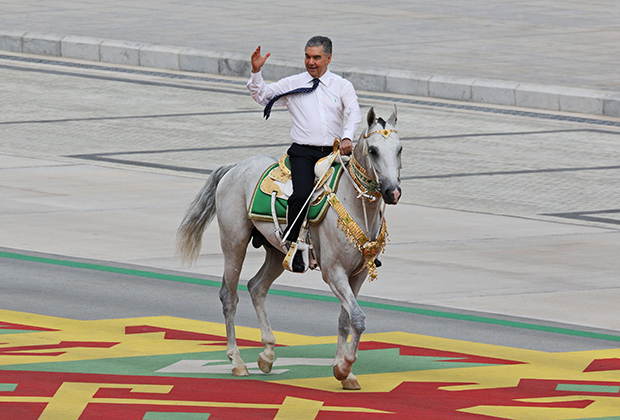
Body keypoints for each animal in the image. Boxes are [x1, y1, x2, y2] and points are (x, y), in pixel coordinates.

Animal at [177, 106, 404, 388]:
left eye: (399, 149)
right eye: (373, 150)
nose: (393, 192)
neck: (355, 204)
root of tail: (236, 167)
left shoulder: (357, 275)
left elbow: (346, 319)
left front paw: (344, 371)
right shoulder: (334, 272)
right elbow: (359, 319)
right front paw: (344, 367)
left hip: (277, 253)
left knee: (257, 287)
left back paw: (267, 354)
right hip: (234, 243)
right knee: (229, 296)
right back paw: (238, 361)